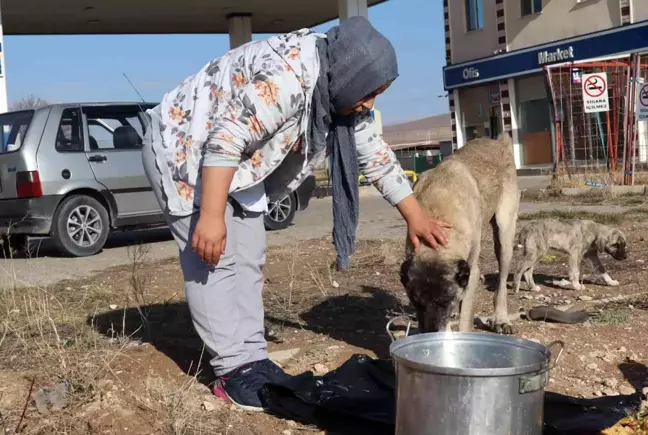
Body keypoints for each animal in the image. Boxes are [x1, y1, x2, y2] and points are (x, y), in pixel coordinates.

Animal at [402, 135, 520, 336]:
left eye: (445, 301)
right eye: (416, 303)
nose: (430, 333)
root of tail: (499, 141)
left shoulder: (470, 276)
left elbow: (465, 319)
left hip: (504, 236)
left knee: (502, 281)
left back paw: (501, 318)